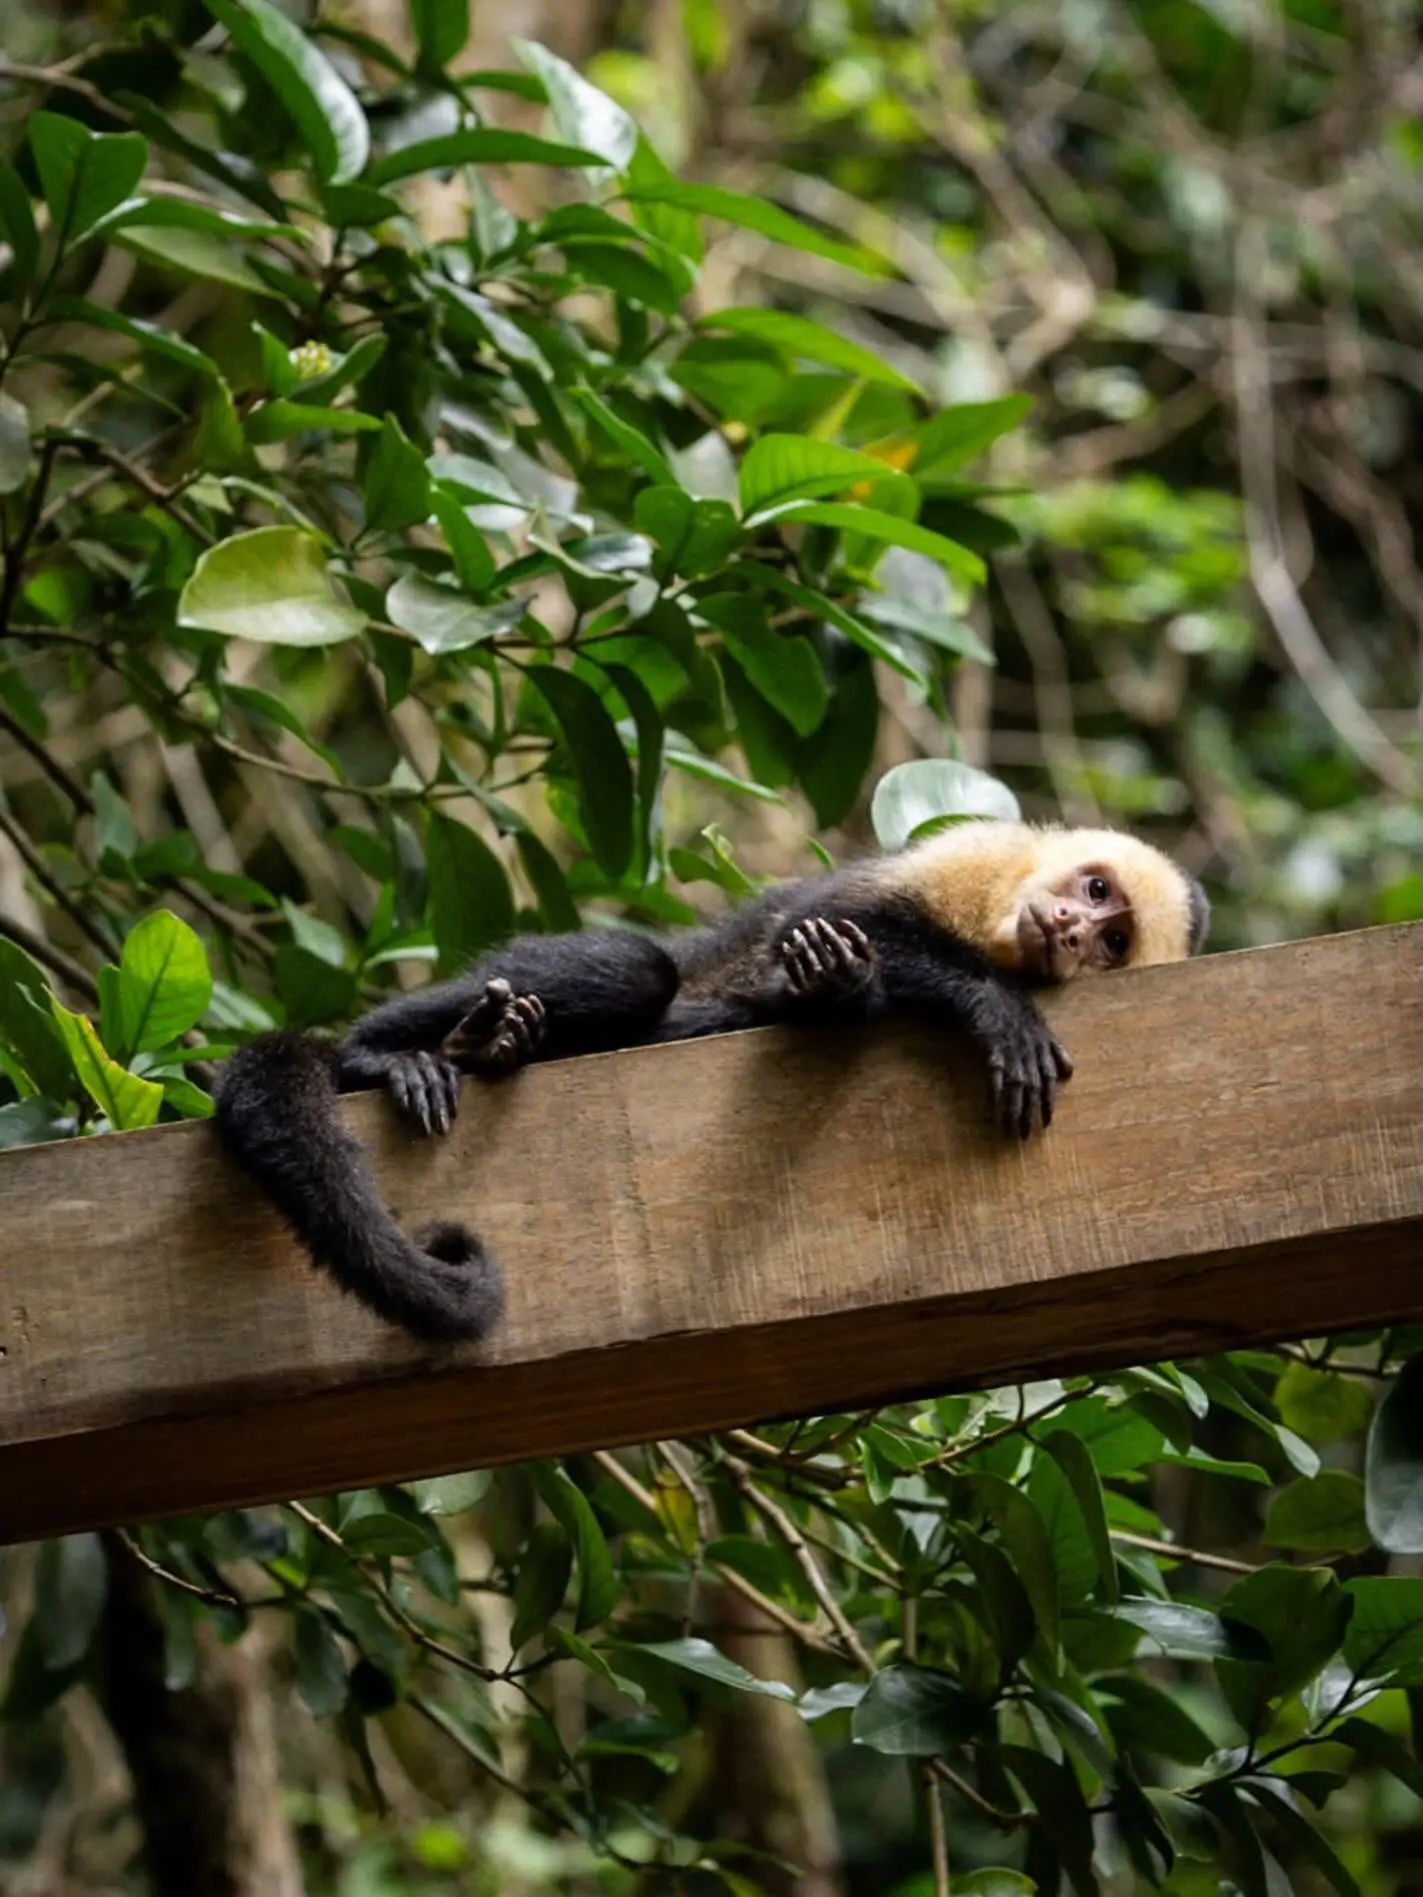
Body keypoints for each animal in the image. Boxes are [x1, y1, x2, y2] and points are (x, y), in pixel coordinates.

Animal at [212, 821, 1209, 1344]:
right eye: (1092, 891)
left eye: (1115, 940)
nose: (1071, 931)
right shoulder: (976, 855)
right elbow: (830, 914)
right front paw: (992, 1004)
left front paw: (835, 985)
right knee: (639, 968)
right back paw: (389, 1053)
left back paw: (493, 1045)